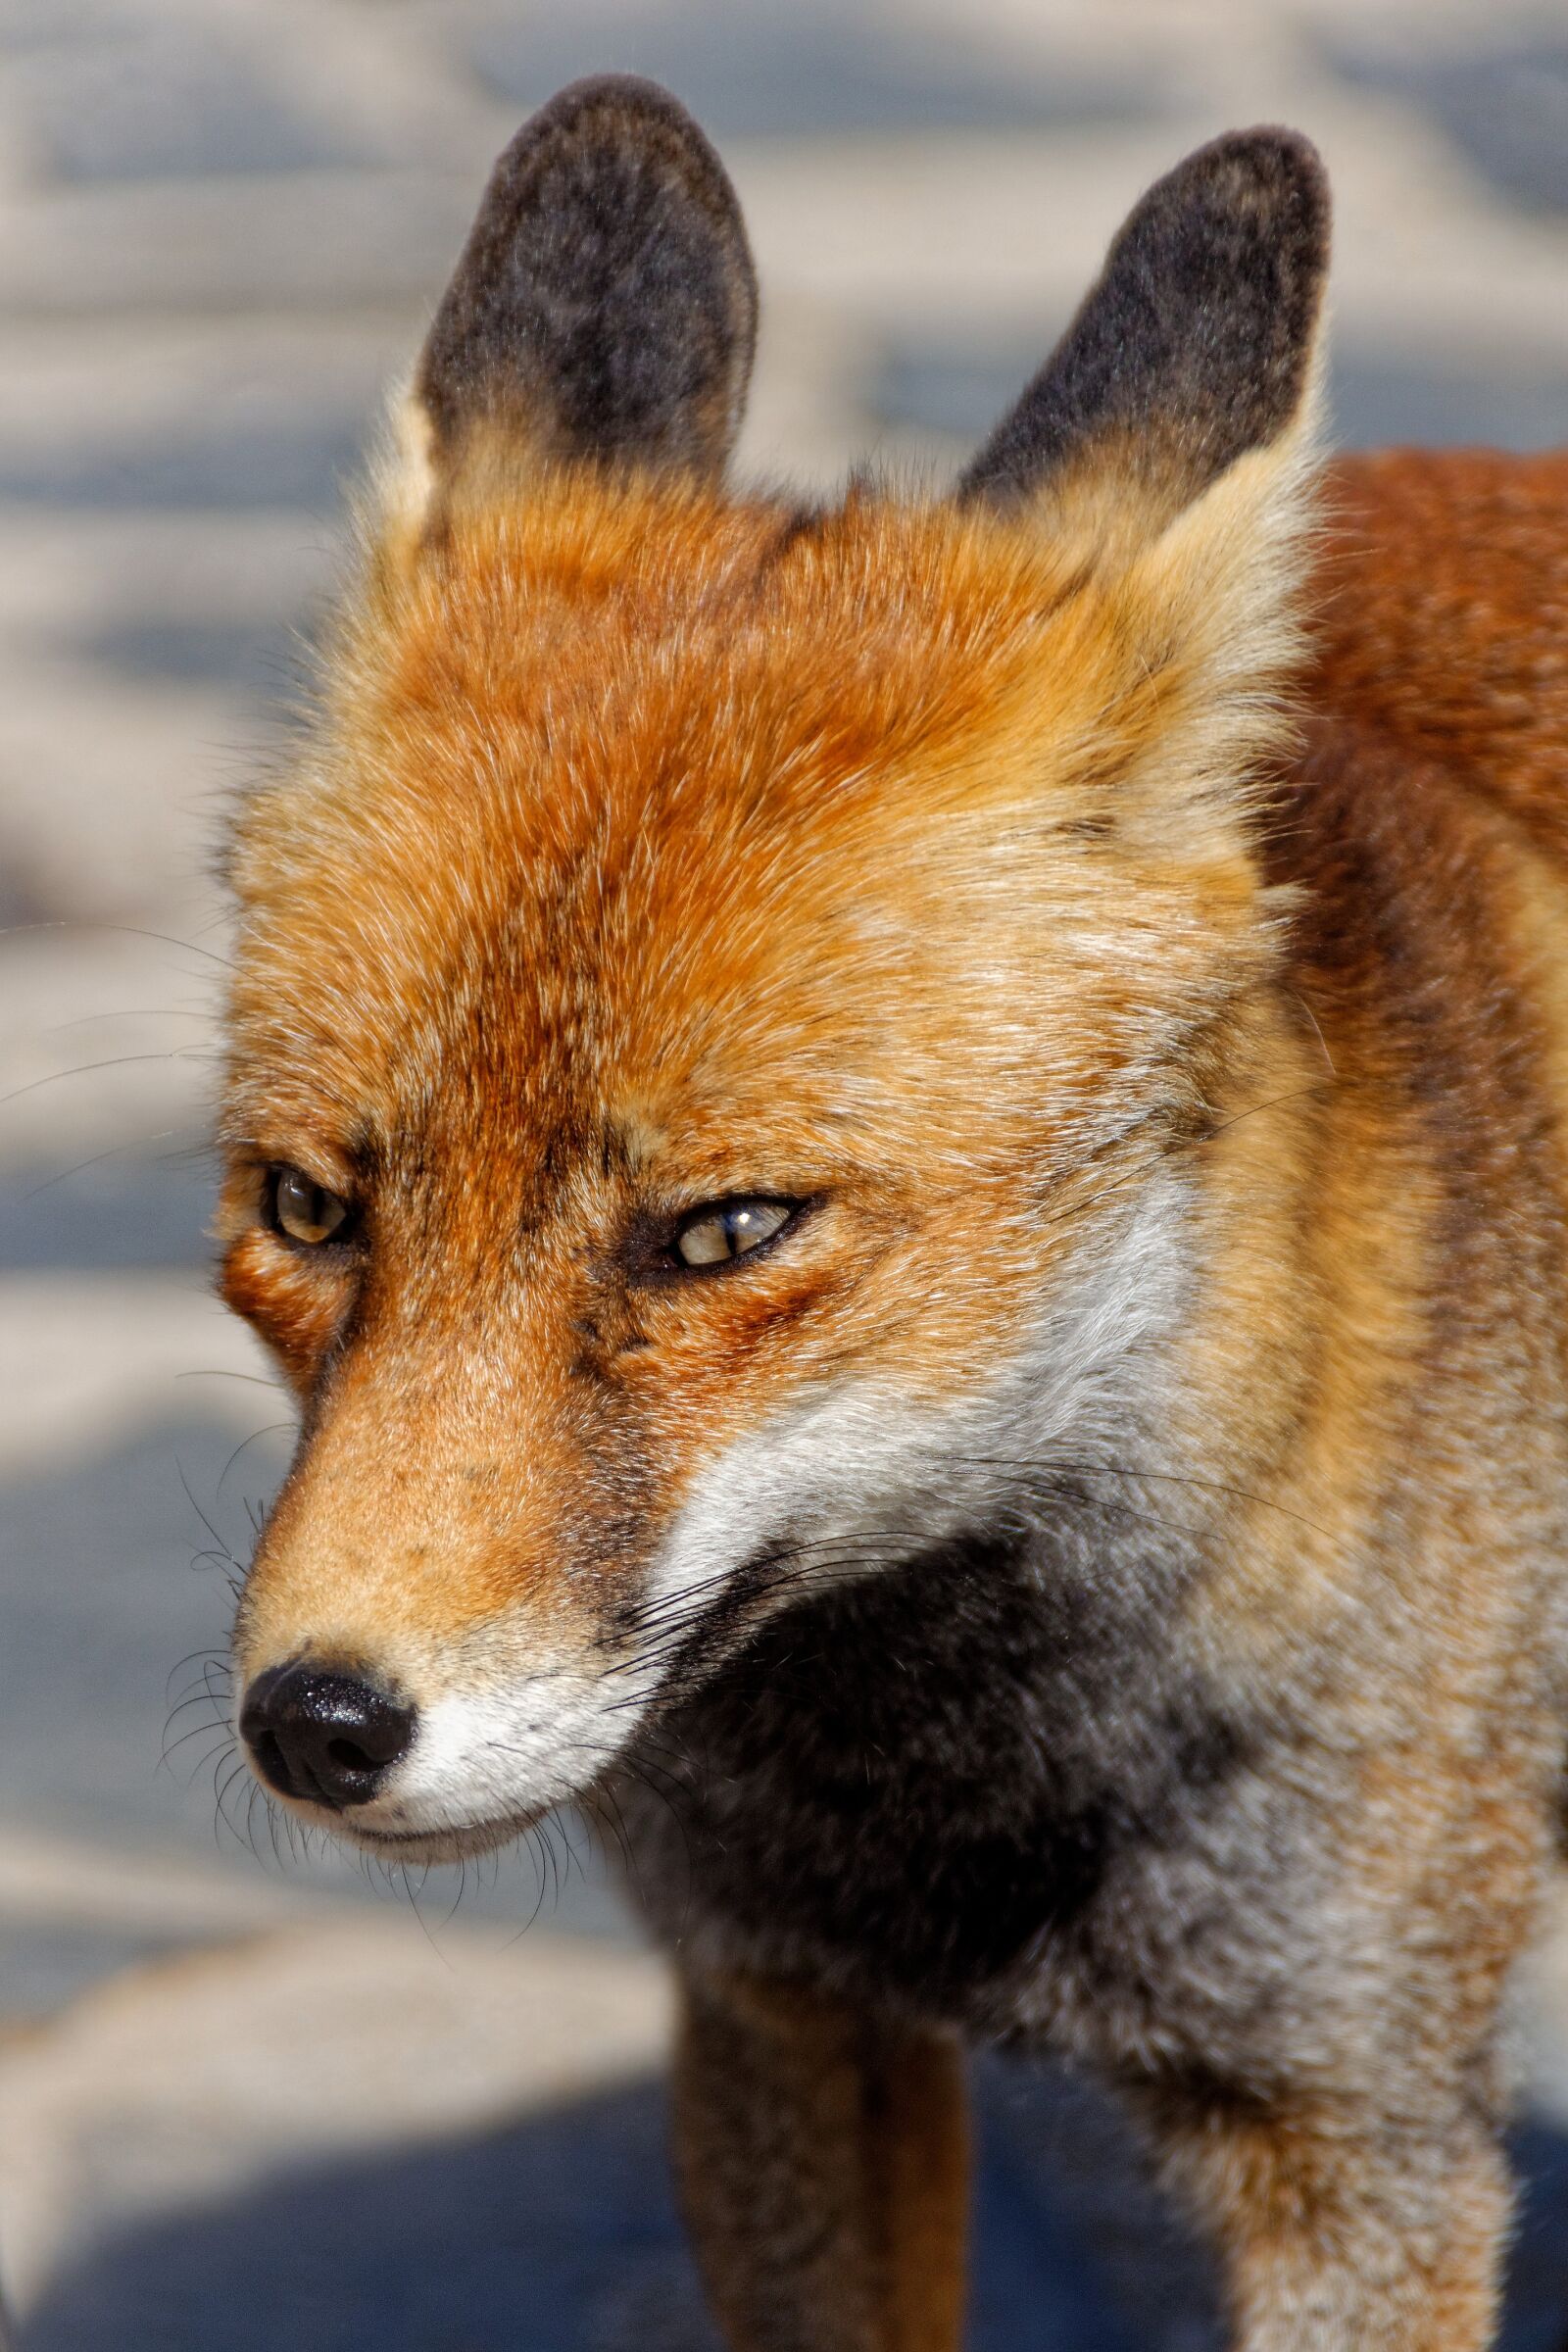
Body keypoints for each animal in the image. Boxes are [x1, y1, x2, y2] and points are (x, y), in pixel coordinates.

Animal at [214, 74, 1568, 2352]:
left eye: (725, 1231)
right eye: (307, 1210)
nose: (315, 1723)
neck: (953, 1814)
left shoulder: (1362, 2142)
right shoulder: (781, 2018)